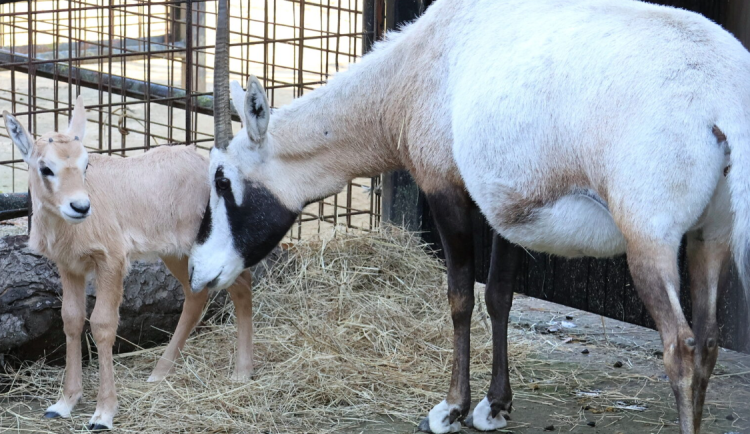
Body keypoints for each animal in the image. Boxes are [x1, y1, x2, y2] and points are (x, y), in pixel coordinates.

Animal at [1, 96, 256, 430]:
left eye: (85, 164)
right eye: (45, 168)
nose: (80, 206)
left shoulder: (111, 260)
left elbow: (102, 324)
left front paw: (103, 414)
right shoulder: (69, 266)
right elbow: (71, 319)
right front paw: (63, 403)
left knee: (241, 285)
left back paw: (242, 372)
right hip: (176, 253)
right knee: (196, 294)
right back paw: (159, 373)